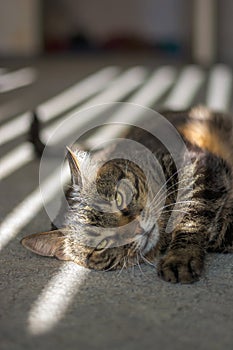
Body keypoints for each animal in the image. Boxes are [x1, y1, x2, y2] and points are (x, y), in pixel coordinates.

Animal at [20, 105, 233, 284]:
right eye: (101, 245)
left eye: (118, 199)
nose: (139, 229)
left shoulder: (200, 168)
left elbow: (192, 216)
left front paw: (181, 257)